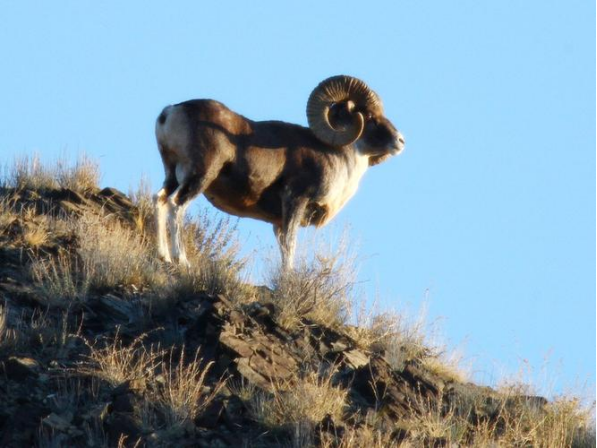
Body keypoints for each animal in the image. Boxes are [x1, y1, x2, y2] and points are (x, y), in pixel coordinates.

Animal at [154, 75, 406, 268]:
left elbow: (283, 246)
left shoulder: (278, 221)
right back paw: (182, 261)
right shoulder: (295, 200)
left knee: (160, 200)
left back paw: (163, 256)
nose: (400, 141)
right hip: (200, 176)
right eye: (369, 116)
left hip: (172, 174)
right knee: (176, 205)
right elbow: (290, 244)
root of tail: (171, 112)